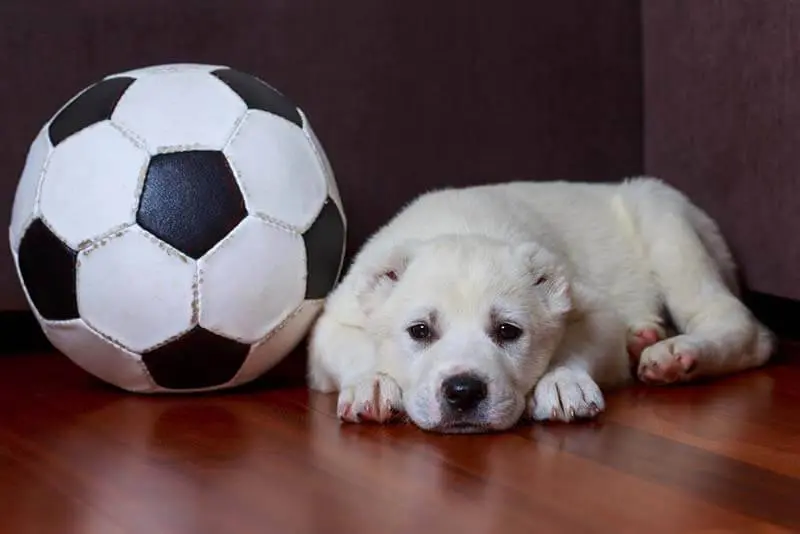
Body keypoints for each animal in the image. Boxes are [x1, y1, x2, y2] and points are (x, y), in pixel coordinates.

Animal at [306, 178, 776, 434]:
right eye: (420, 331)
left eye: (507, 332)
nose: (463, 392)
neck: (462, 225)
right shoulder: (332, 323)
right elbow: (356, 348)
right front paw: (373, 383)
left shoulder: (595, 311)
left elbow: (577, 344)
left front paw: (563, 382)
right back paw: (644, 337)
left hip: (667, 231)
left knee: (741, 326)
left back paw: (678, 355)